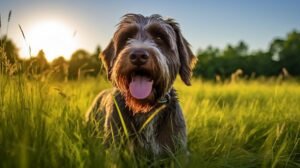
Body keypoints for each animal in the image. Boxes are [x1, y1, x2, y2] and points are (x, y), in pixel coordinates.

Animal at [86, 13, 197, 156]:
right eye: (127, 38)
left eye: (160, 37)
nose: (138, 55)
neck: (145, 109)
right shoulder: (113, 147)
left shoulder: (178, 151)